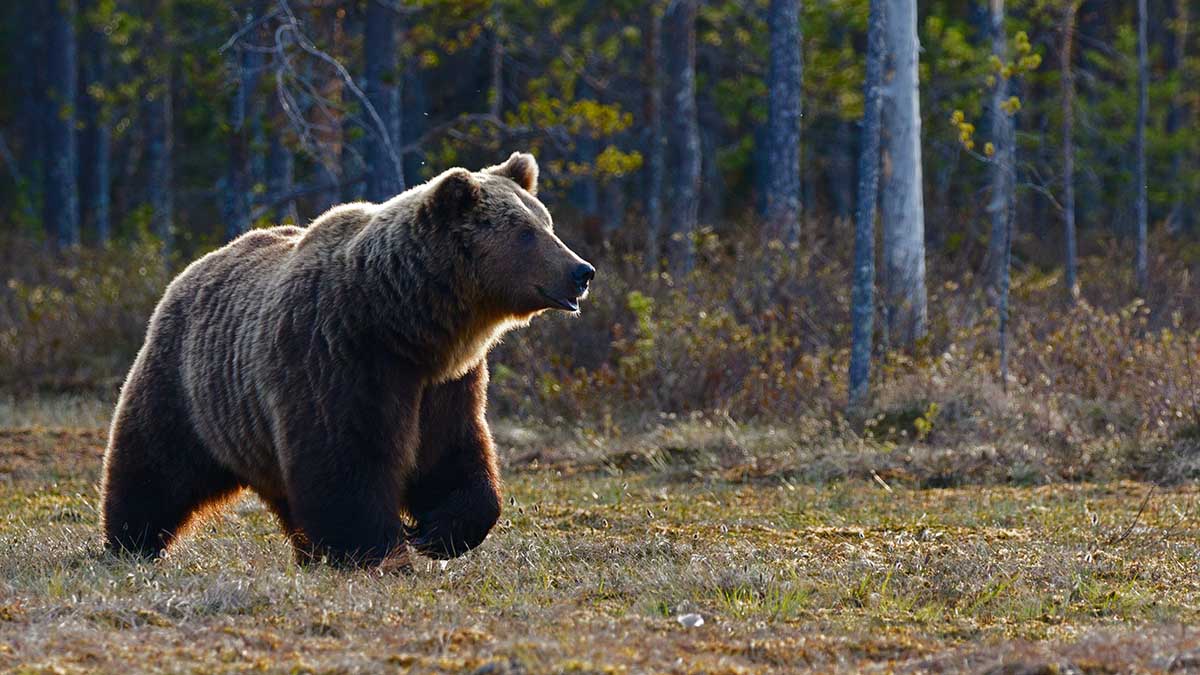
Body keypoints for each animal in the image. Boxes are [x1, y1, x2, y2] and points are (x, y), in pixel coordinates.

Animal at [100, 151, 592, 562]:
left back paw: (307, 552)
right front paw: (379, 550)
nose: (581, 271)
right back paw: (130, 542)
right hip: (189, 386)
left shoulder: (446, 382)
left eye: (547, 223)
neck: (405, 323)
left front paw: (437, 532)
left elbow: (452, 453)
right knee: (154, 464)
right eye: (526, 233)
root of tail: (193, 268)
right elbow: (346, 461)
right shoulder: (338, 356)